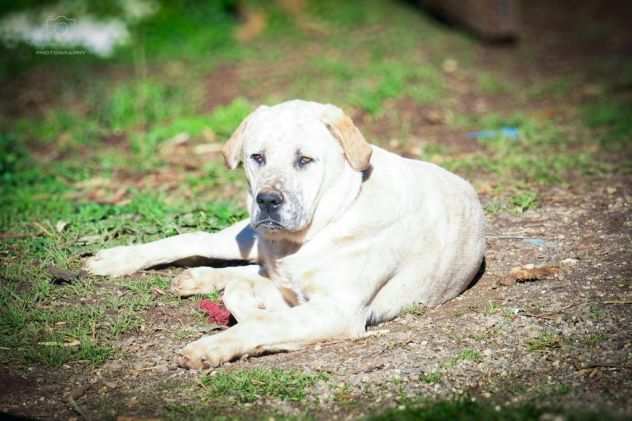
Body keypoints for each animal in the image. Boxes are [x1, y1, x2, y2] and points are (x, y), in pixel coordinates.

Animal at [84, 99, 486, 368]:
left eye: (304, 160)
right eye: (257, 157)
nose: (267, 200)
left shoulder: (336, 310)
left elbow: (257, 313)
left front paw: (214, 345)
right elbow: (243, 295)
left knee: (243, 270)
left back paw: (199, 278)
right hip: (244, 235)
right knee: (201, 241)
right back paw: (118, 261)